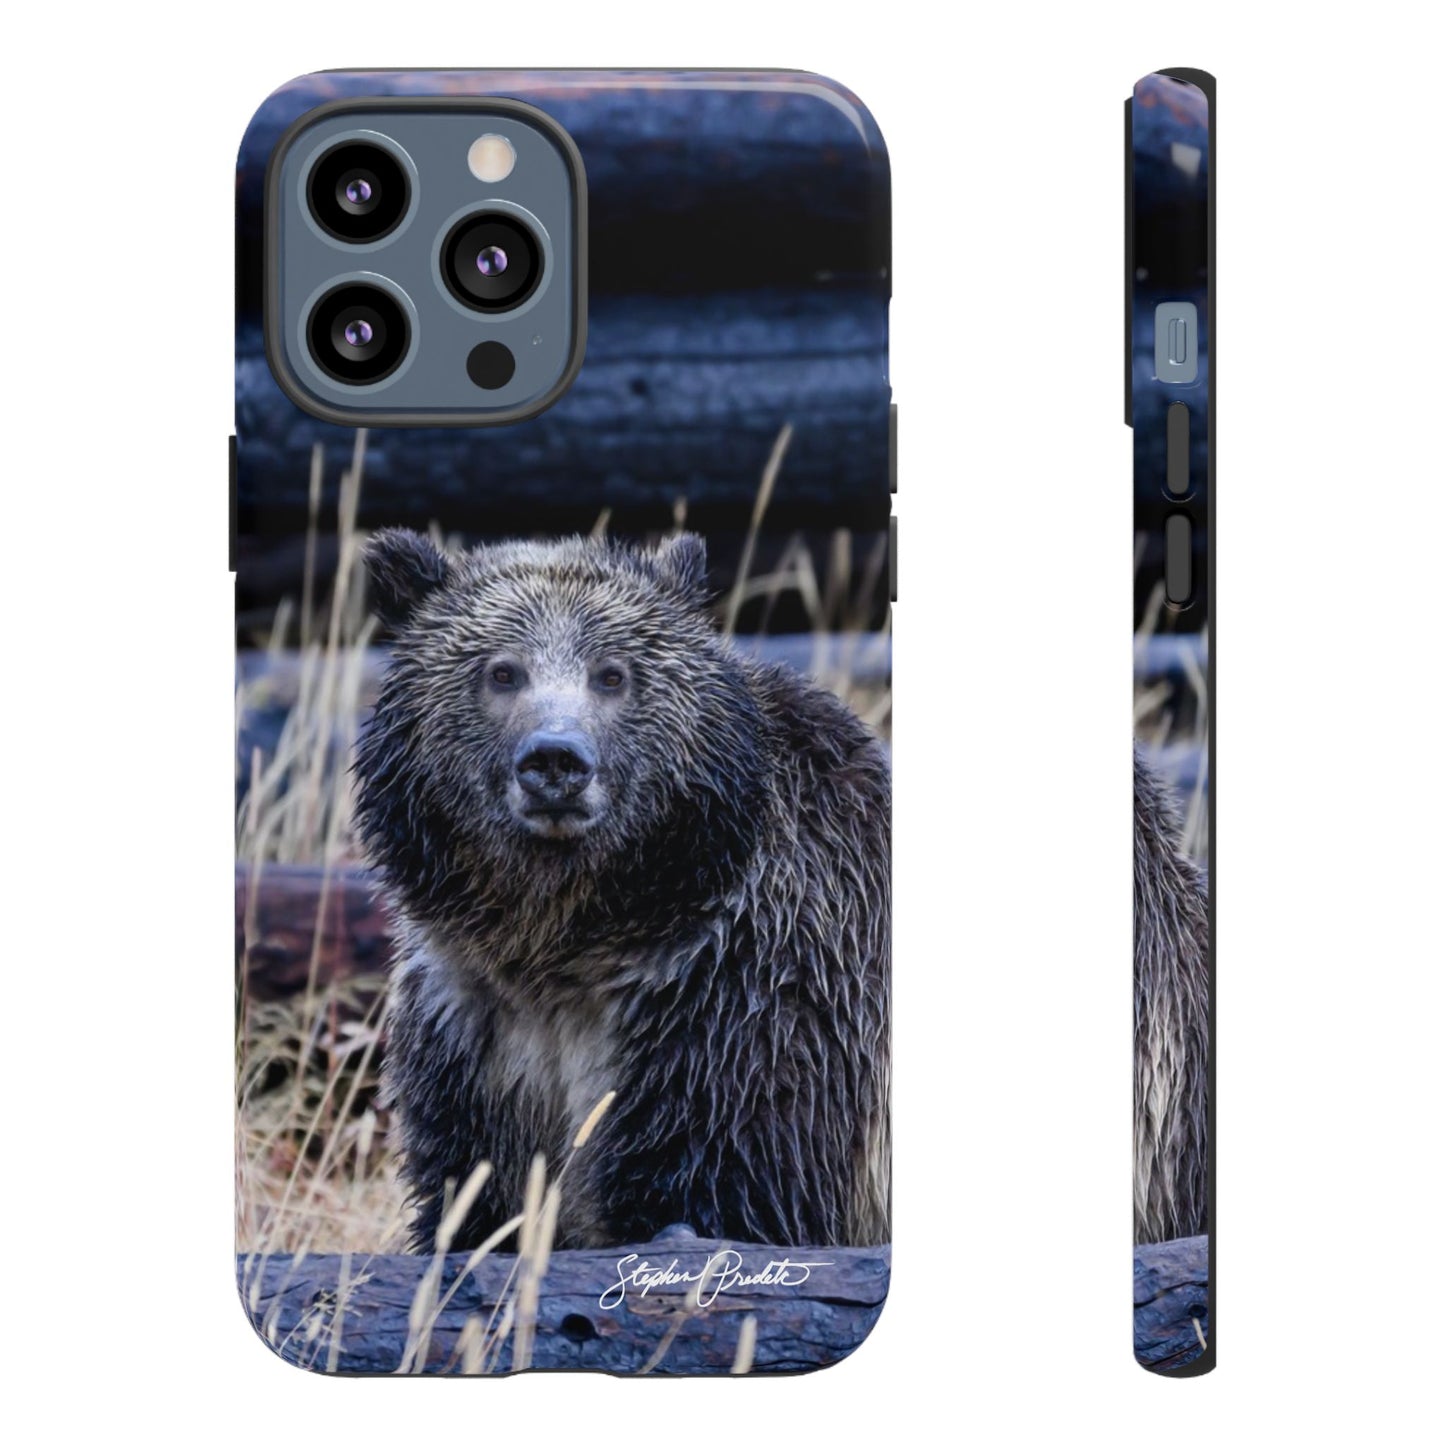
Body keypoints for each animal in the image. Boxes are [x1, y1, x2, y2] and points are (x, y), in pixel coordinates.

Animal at [353, 529, 891, 1254]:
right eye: (502, 671)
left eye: (611, 674)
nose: (555, 761)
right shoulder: (472, 1026)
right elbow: (473, 1196)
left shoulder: (742, 1002)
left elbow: (727, 1185)